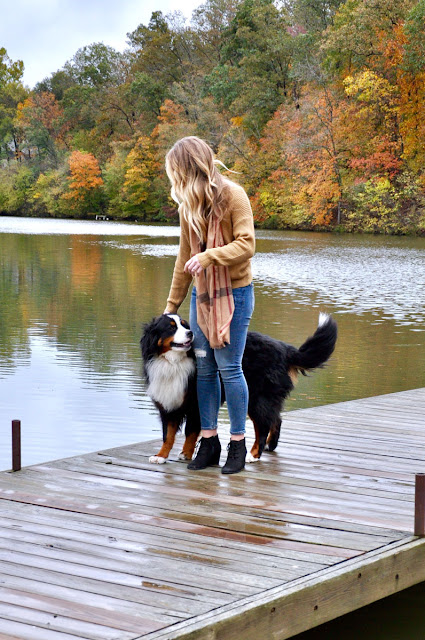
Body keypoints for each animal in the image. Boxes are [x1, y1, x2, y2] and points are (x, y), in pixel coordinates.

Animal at [141, 314, 336, 464]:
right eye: (171, 328)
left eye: (185, 325)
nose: (190, 333)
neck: (173, 362)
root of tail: (284, 348)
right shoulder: (168, 403)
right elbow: (168, 435)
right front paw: (161, 456)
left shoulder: (196, 403)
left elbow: (190, 432)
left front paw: (186, 454)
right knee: (276, 419)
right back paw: (269, 446)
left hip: (256, 398)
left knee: (263, 425)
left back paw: (253, 455)